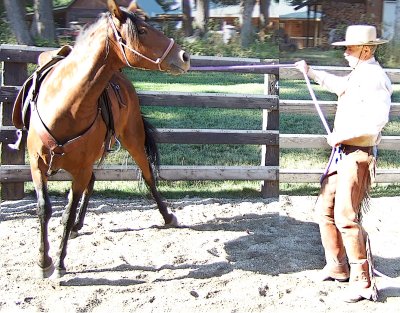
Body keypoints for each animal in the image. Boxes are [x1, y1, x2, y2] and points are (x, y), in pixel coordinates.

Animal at [20, 0, 191, 278]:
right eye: (141, 30)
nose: (184, 56)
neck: (65, 107)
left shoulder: (80, 168)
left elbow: (68, 210)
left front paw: (60, 263)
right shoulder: (37, 165)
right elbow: (44, 209)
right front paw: (44, 261)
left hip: (133, 139)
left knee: (147, 177)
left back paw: (167, 217)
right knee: (93, 183)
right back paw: (78, 225)